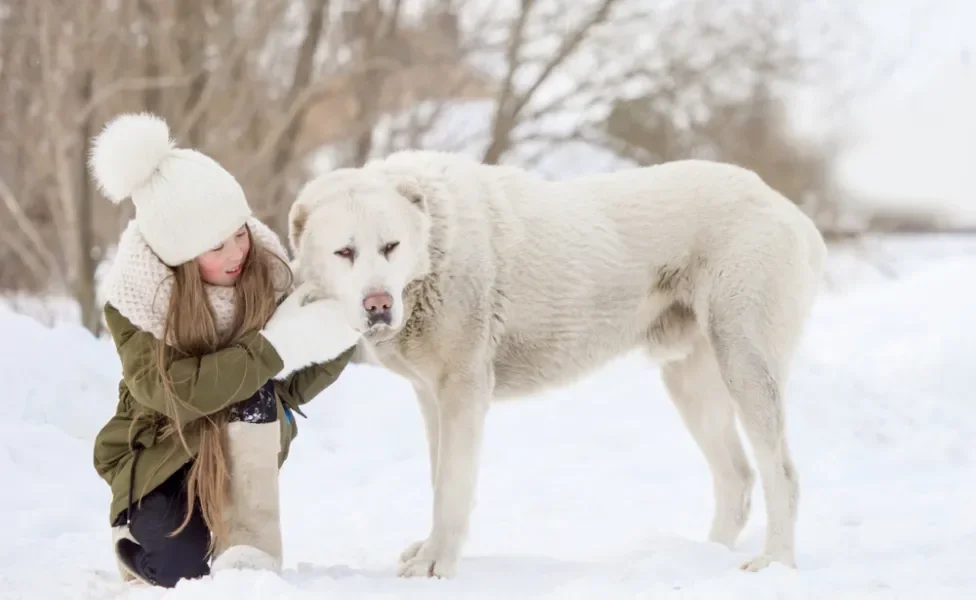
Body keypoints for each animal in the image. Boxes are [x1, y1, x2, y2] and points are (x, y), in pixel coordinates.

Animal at [286, 148, 828, 580]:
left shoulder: (464, 389)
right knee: (737, 477)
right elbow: (439, 478)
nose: (378, 304)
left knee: (781, 473)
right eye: (344, 252)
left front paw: (436, 564)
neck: (435, 245)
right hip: (691, 383)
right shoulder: (431, 395)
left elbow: (451, 487)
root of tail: (789, 211)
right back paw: (702, 558)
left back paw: (773, 563)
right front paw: (430, 551)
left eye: (390, 246)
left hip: (744, 360)